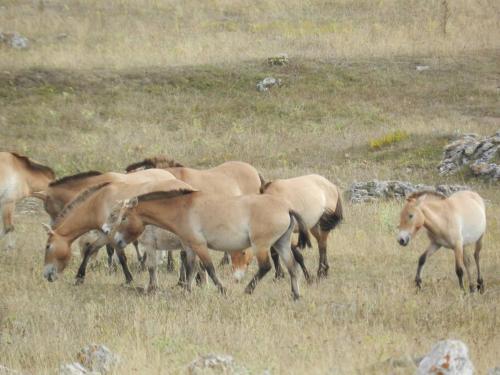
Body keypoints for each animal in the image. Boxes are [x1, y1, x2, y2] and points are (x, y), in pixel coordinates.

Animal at [40, 170, 183, 282]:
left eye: (48, 246)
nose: (46, 275)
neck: (97, 203)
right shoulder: (105, 234)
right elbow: (91, 250)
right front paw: (80, 277)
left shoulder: (113, 235)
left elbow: (121, 257)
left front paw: (128, 279)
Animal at [110, 192, 312, 302]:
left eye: (124, 217)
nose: (117, 241)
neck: (183, 208)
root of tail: (287, 208)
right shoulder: (190, 247)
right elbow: (191, 269)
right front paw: (187, 291)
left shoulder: (200, 246)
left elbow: (209, 269)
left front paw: (223, 290)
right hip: (281, 243)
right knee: (293, 268)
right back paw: (296, 295)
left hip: (261, 246)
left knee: (266, 267)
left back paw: (247, 290)